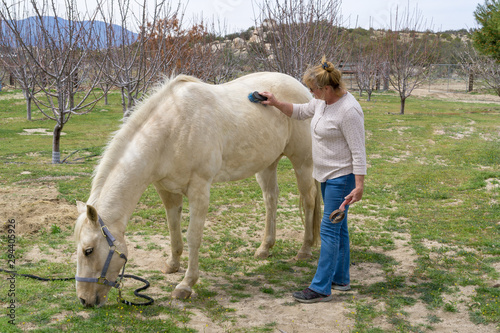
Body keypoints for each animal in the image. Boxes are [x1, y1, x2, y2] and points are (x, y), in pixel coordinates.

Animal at [72, 71, 322, 304]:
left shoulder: (199, 190)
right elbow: (173, 229)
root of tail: (304, 90)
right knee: (271, 200)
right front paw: (172, 265)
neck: (172, 131)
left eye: (88, 250)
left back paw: (304, 250)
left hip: (302, 162)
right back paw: (264, 248)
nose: (84, 300)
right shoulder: (167, 190)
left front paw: (186, 285)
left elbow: (193, 236)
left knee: (309, 199)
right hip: (267, 164)